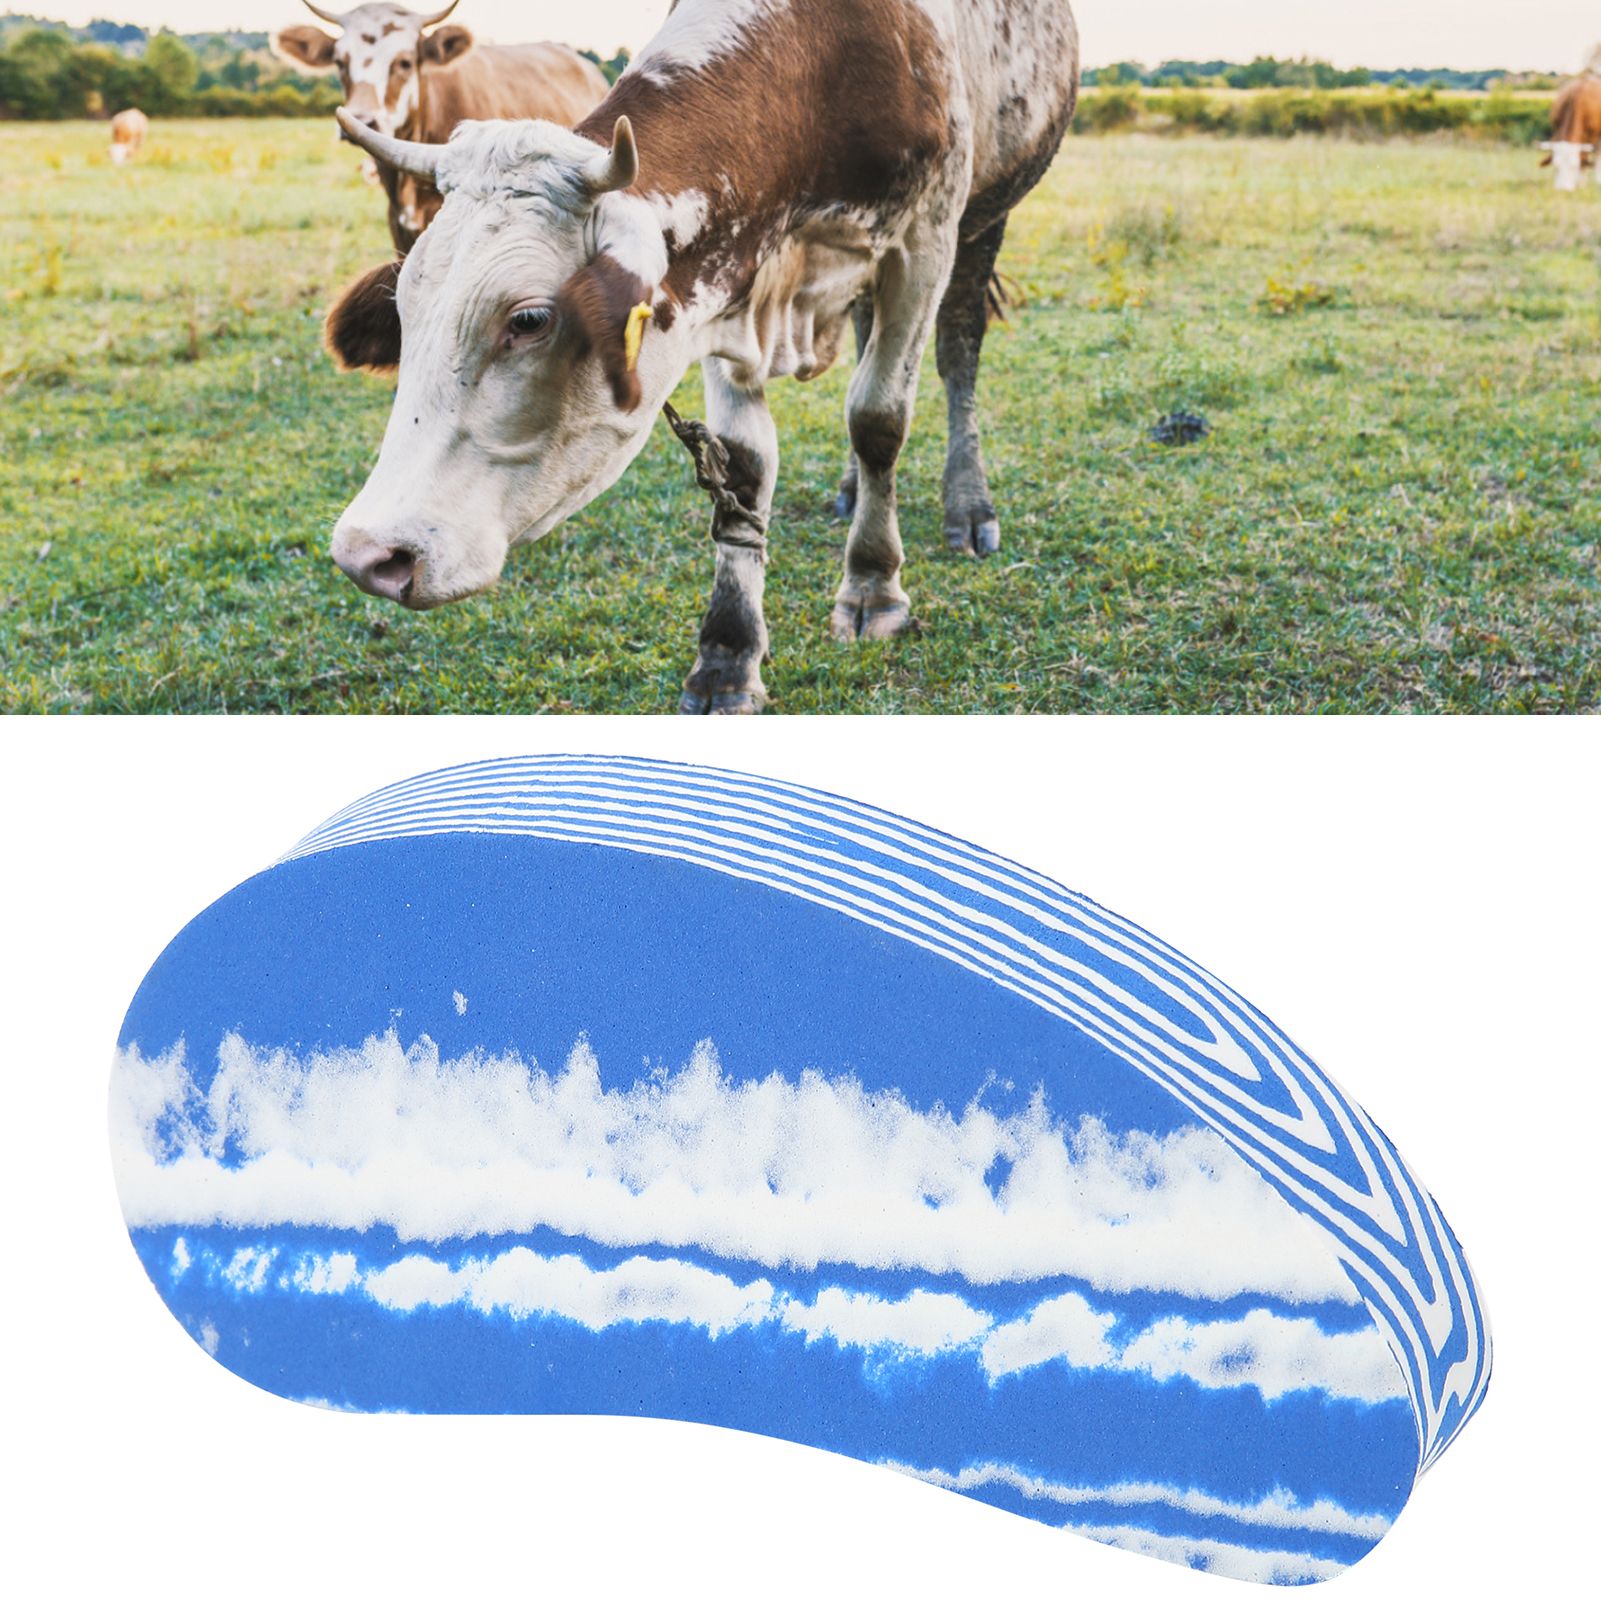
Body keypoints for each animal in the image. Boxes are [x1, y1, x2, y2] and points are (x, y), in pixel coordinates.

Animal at [322, 0, 1080, 713]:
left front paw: (873, 587)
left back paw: (966, 505)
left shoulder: (924, 240)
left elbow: (879, 417)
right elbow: (742, 465)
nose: (368, 556)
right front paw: (728, 653)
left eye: (528, 319)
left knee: (955, 353)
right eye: (404, 306)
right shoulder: (726, 276)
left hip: (985, 219)